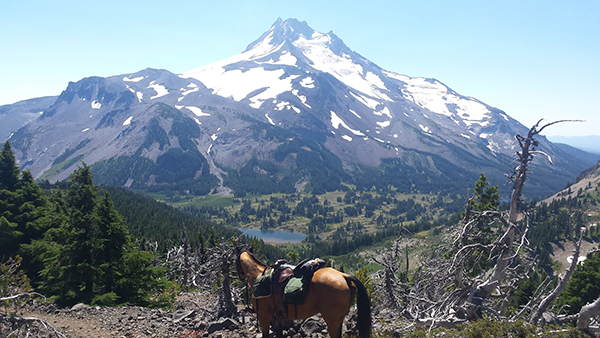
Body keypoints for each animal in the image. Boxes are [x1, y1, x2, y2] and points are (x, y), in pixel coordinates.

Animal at [236, 248, 370, 338]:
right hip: (338, 320)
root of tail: (344, 276)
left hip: (333, 321)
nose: (240, 277)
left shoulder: (264, 316)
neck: (259, 275)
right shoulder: (278, 316)